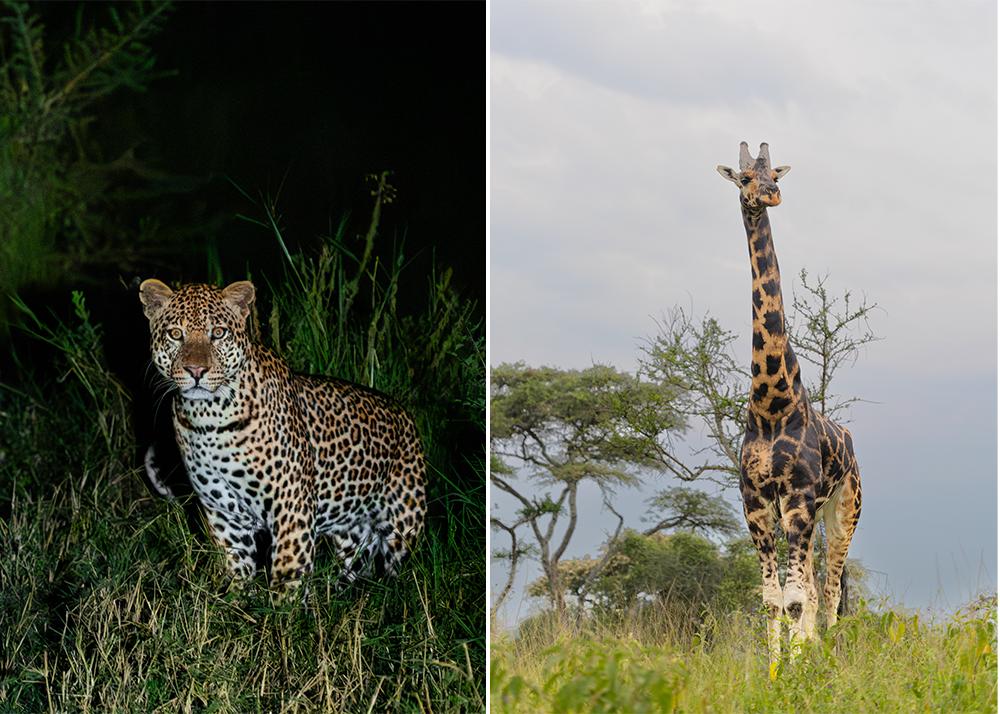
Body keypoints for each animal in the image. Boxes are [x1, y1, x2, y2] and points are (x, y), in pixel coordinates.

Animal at [138, 278, 426, 591]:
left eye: (218, 333)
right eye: (175, 334)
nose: (196, 370)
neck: (208, 419)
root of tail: (405, 415)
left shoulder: (291, 505)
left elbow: (288, 572)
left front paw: (284, 603)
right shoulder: (224, 516)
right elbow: (237, 568)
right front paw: (237, 598)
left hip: (403, 522)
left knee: (398, 567)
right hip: (350, 529)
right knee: (360, 558)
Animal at [717, 142, 862, 665]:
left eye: (775, 174)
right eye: (743, 177)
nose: (770, 194)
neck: (771, 401)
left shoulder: (797, 495)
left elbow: (798, 598)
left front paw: (797, 672)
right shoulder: (756, 501)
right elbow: (773, 599)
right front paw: (775, 670)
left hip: (843, 509)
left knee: (832, 590)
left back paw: (831, 655)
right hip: (809, 515)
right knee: (817, 588)